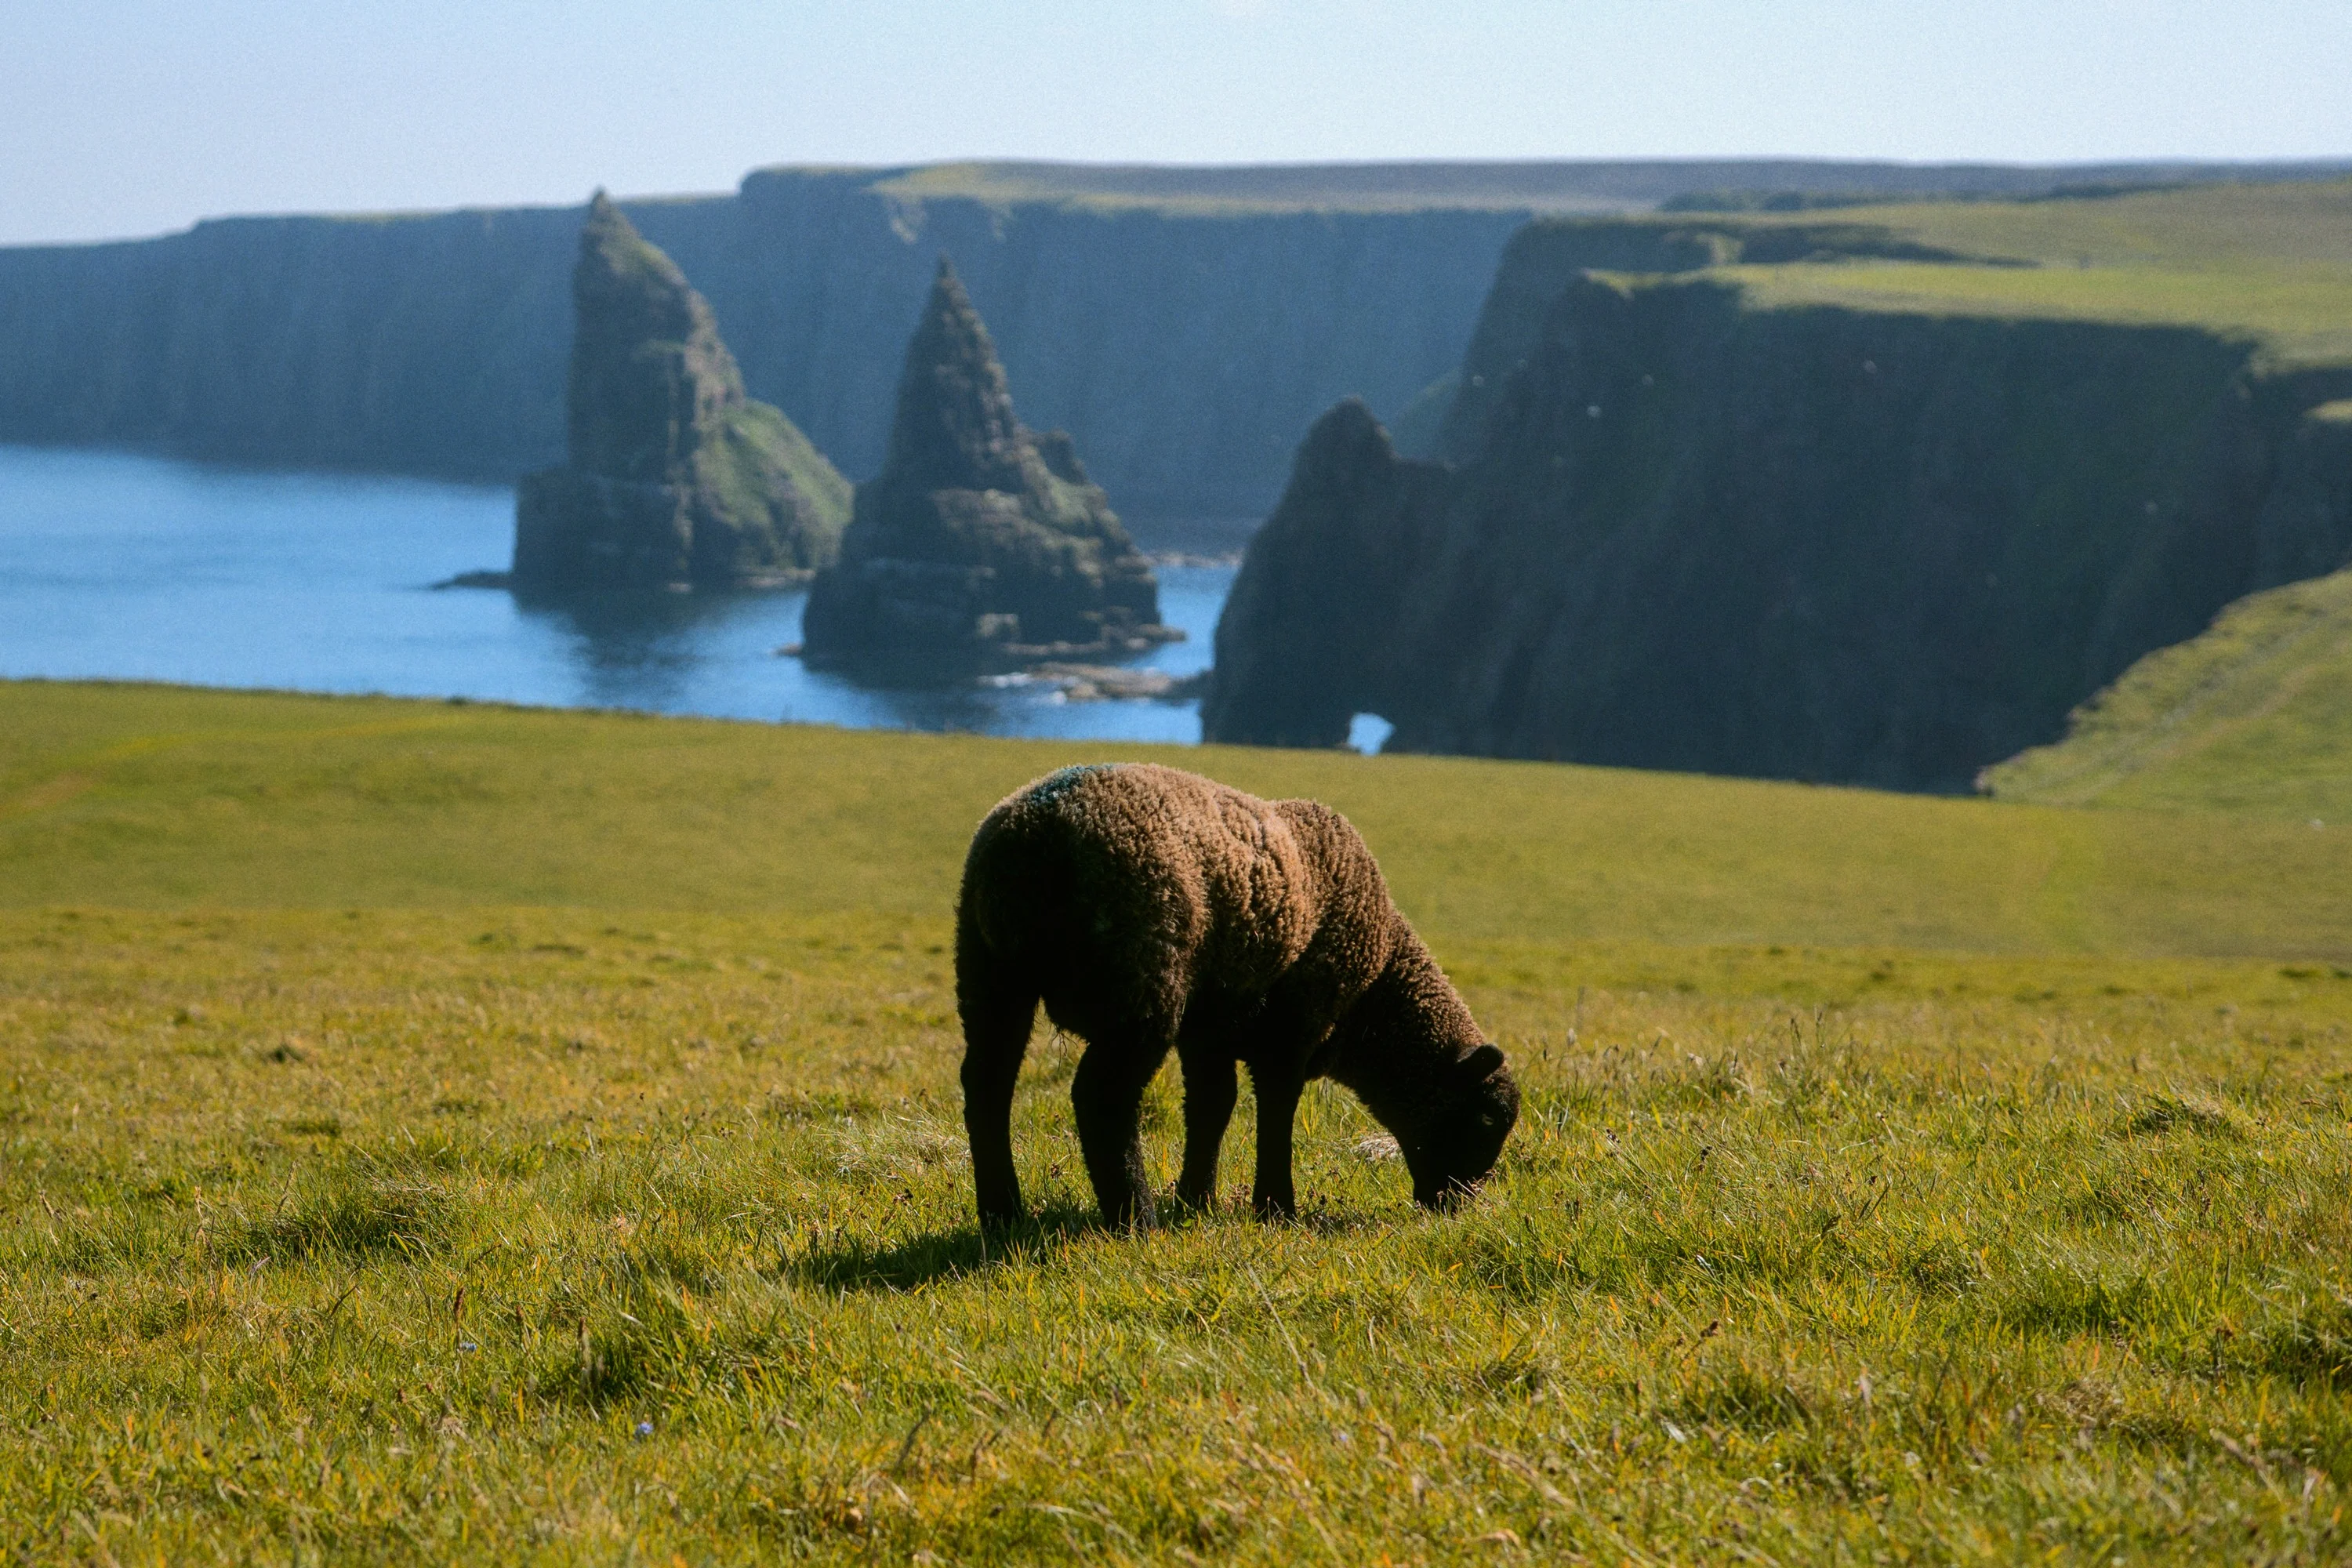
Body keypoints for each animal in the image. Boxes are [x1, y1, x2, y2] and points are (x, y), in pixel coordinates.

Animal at [956, 762, 1519, 1228]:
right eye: (1487, 1117)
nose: (1456, 1204)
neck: (1373, 996)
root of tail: (1034, 838)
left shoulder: (1210, 1032)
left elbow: (1213, 1106)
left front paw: (1196, 1200)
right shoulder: (1294, 1027)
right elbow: (1276, 1110)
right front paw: (1276, 1208)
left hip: (989, 975)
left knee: (987, 1083)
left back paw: (1002, 1212)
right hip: (1142, 981)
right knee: (1102, 1096)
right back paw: (1134, 1219)